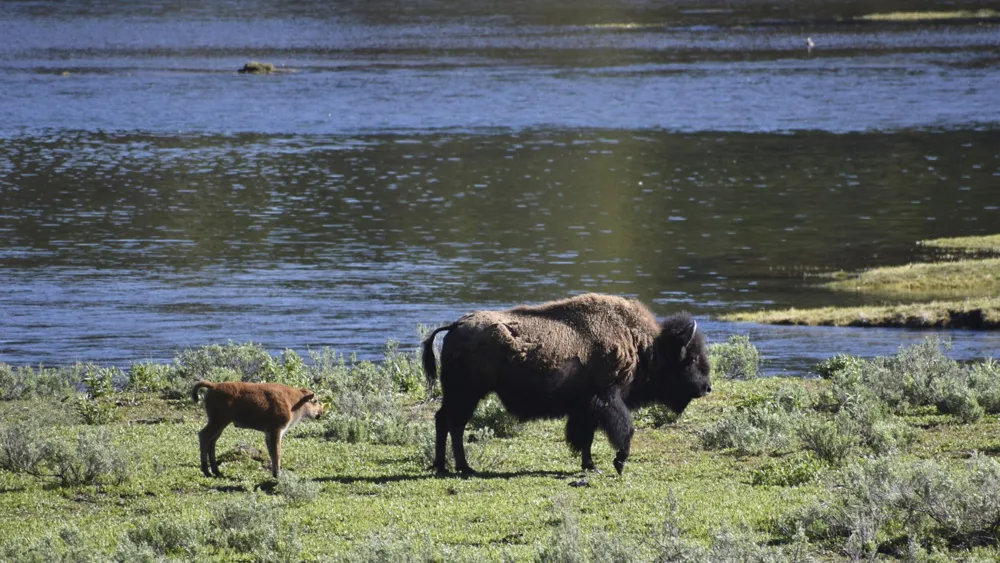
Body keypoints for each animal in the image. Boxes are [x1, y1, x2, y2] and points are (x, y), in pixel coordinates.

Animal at [191, 382, 324, 478]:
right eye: (315, 400)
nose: (321, 412)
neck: (295, 401)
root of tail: (213, 386)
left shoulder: (269, 433)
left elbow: (272, 452)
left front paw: (275, 473)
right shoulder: (276, 430)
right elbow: (277, 452)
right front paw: (278, 475)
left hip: (220, 424)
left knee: (212, 441)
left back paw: (216, 471)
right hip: (218, 422)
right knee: (204, 436)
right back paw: (207, 471)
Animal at [422, 296, 712, 476]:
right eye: (691, 359)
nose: (707, 387)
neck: (644, 346)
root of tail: (456, 326)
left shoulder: (585, 408)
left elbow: (586, 438)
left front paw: (590, 466)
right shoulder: (607, 400)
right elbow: (624, 430)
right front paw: (618, 463)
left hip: (459, 395)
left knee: (443, 420)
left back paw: (444, 465)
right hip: (466, 394)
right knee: (454, 424)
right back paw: (462, 467)